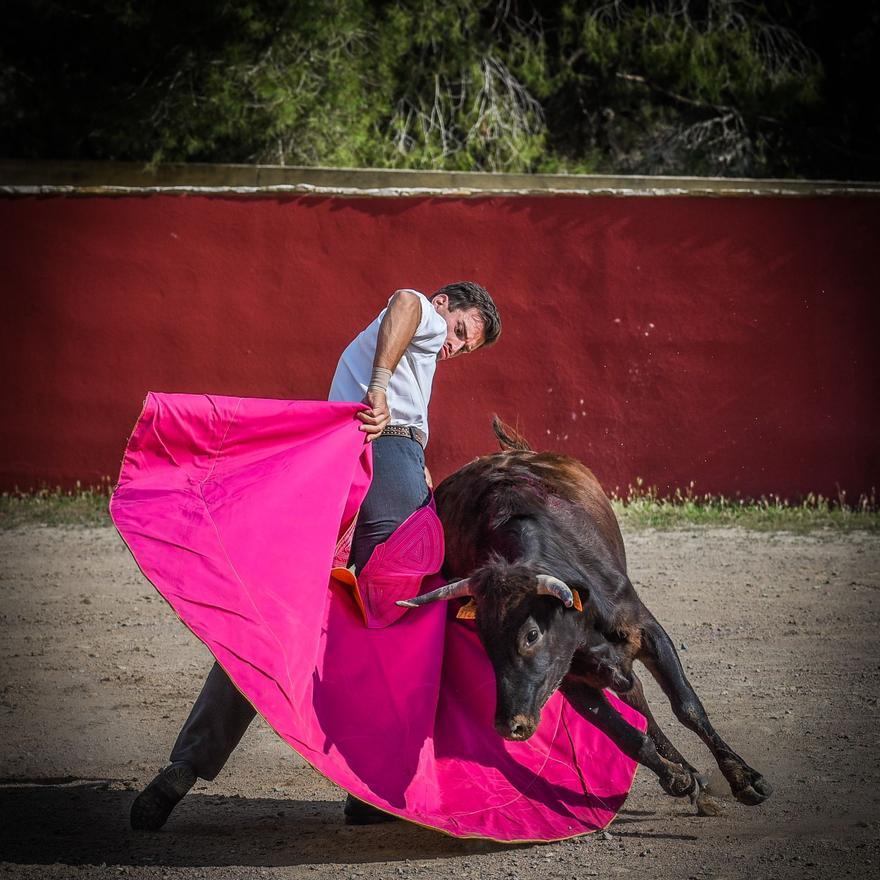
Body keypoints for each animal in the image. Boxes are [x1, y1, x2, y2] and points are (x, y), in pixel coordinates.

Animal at [402, 422, 772, 816]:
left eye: (531, 635)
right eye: (485, 640)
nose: (508, 726)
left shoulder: (647, 630)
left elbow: (688, 707)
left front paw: (745, 780)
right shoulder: (571, 678)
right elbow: (625, 735)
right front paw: (677, 778)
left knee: (640, 697)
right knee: (636, 700)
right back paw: (689, 777)